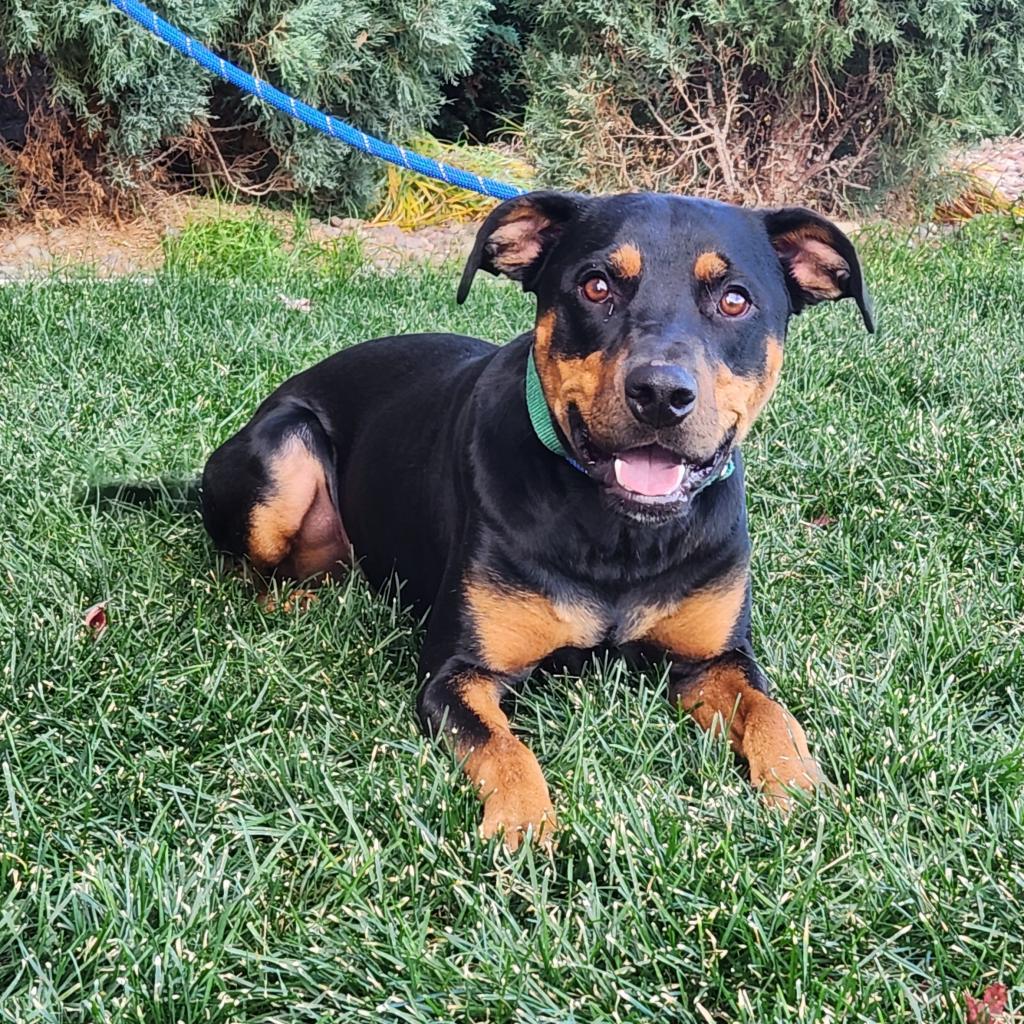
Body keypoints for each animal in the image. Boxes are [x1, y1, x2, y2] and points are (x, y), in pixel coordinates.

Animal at [197, 190, 872, 847]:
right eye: (595, 286)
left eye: (735, 300)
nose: (660, 394)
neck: (621, 535)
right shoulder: (457, 673)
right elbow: (504, 749)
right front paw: (522, 827)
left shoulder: (717, 661)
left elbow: (771, 713)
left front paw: (805, 794)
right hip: (283, 458)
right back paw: (290, 602)